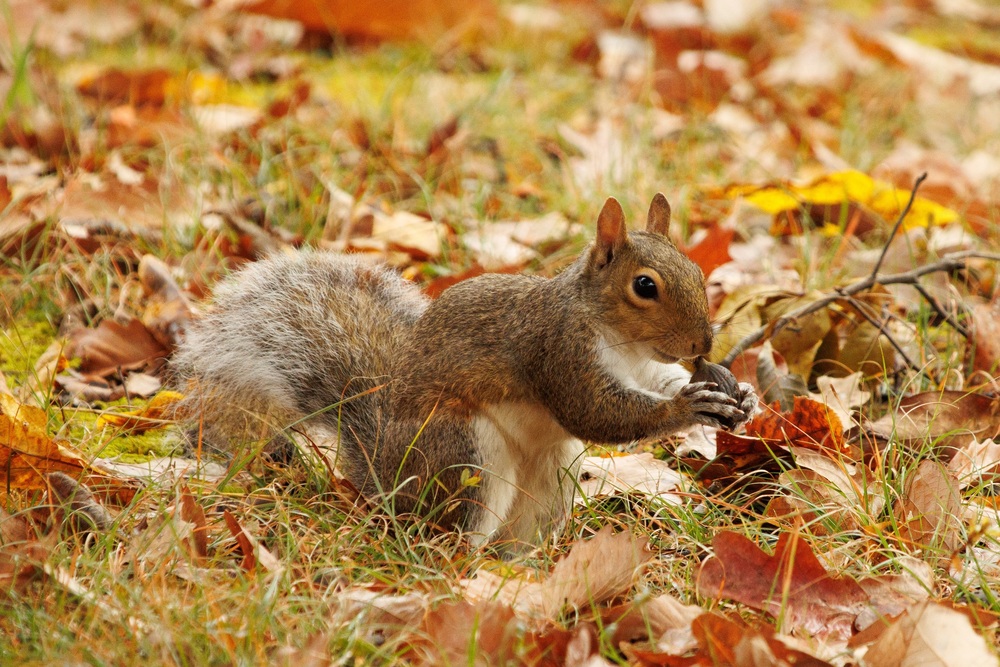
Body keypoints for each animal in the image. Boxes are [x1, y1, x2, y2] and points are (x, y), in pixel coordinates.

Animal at [172, 194, 758, 551]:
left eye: (698, 270)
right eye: (645, 286)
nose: (703, 344)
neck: (622, 340)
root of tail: (390, 489)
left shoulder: (643, 367)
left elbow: (658, 384)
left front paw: (737, 392)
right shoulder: (558, 352)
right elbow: (596, 413)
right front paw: (687, 406)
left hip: (551, 478)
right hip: (464, 452)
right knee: (450, 534)